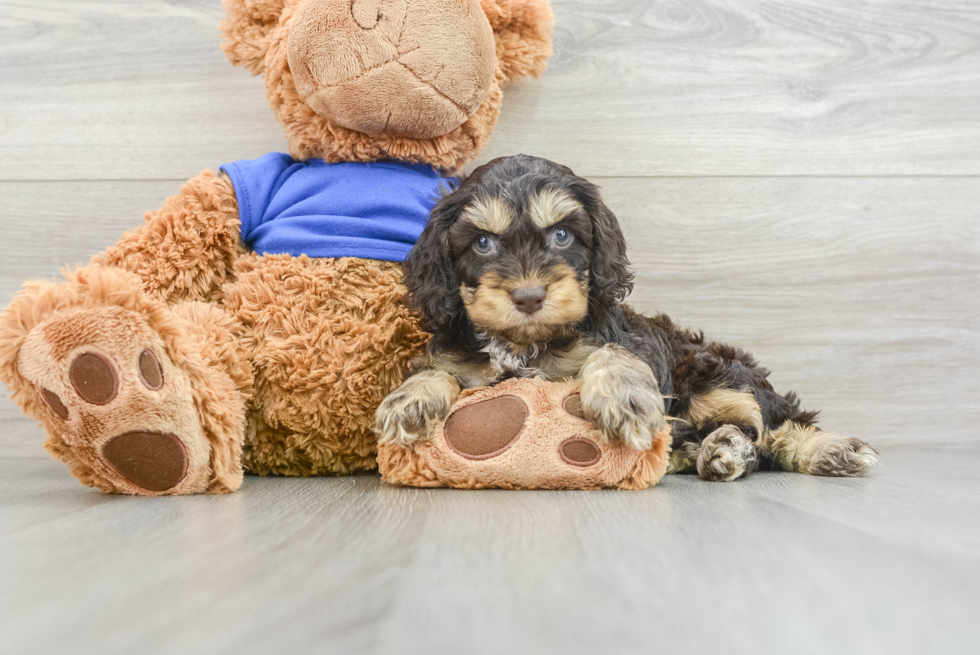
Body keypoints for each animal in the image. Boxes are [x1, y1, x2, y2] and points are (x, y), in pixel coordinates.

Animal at [376, 154, 880, 482]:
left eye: (562, 235)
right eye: (483, 243)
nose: (528, 295)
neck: (524, 342)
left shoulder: (627, 340)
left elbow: (615, 353)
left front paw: (625, 397)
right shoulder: (457, 357)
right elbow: (436, 371)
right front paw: (408, 400)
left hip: (712, 372)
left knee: (774, 424)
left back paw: (827, 449)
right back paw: (717, 450)